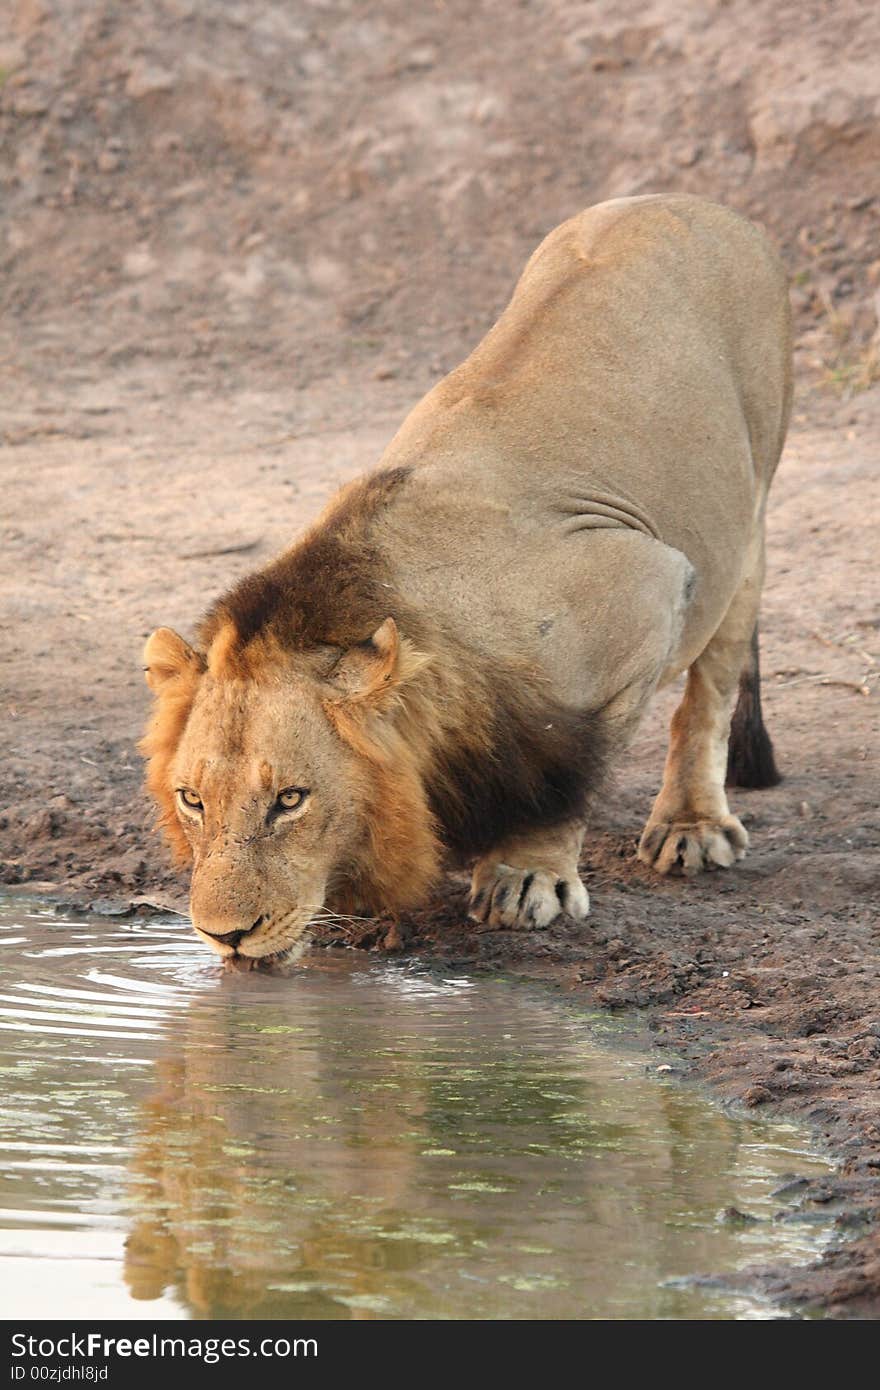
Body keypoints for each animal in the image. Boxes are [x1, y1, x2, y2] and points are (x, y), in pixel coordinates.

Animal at [139, 195, 789, 967]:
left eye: (290, 800)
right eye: (192, 800)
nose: (224, 935)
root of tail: (690, 203)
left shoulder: (647, 587)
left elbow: (567, 778)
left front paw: (527, 874)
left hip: (745, 519)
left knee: (711, 689)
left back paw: (691, 823)